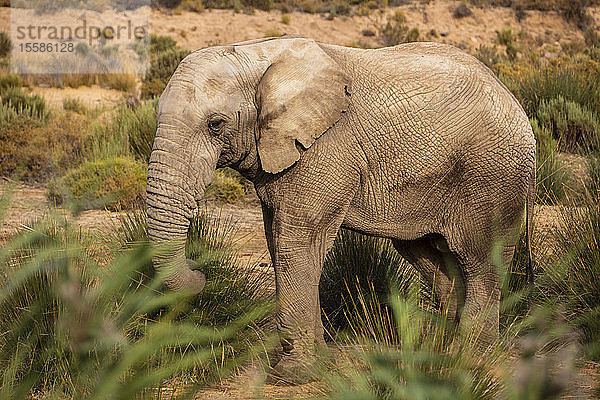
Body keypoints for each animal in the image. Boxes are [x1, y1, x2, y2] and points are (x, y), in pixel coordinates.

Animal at [148, 36, 536, 382]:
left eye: (215, 124)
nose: (203, 274)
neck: (256, 54)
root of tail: (513, 99)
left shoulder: (327, 148)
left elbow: (296, 241)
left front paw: (293, 374)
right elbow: (277, 242)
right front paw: (315, 362)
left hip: (492, 179)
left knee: (480, 263)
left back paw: (468, 359)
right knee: (434, 261)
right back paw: (439, 352)